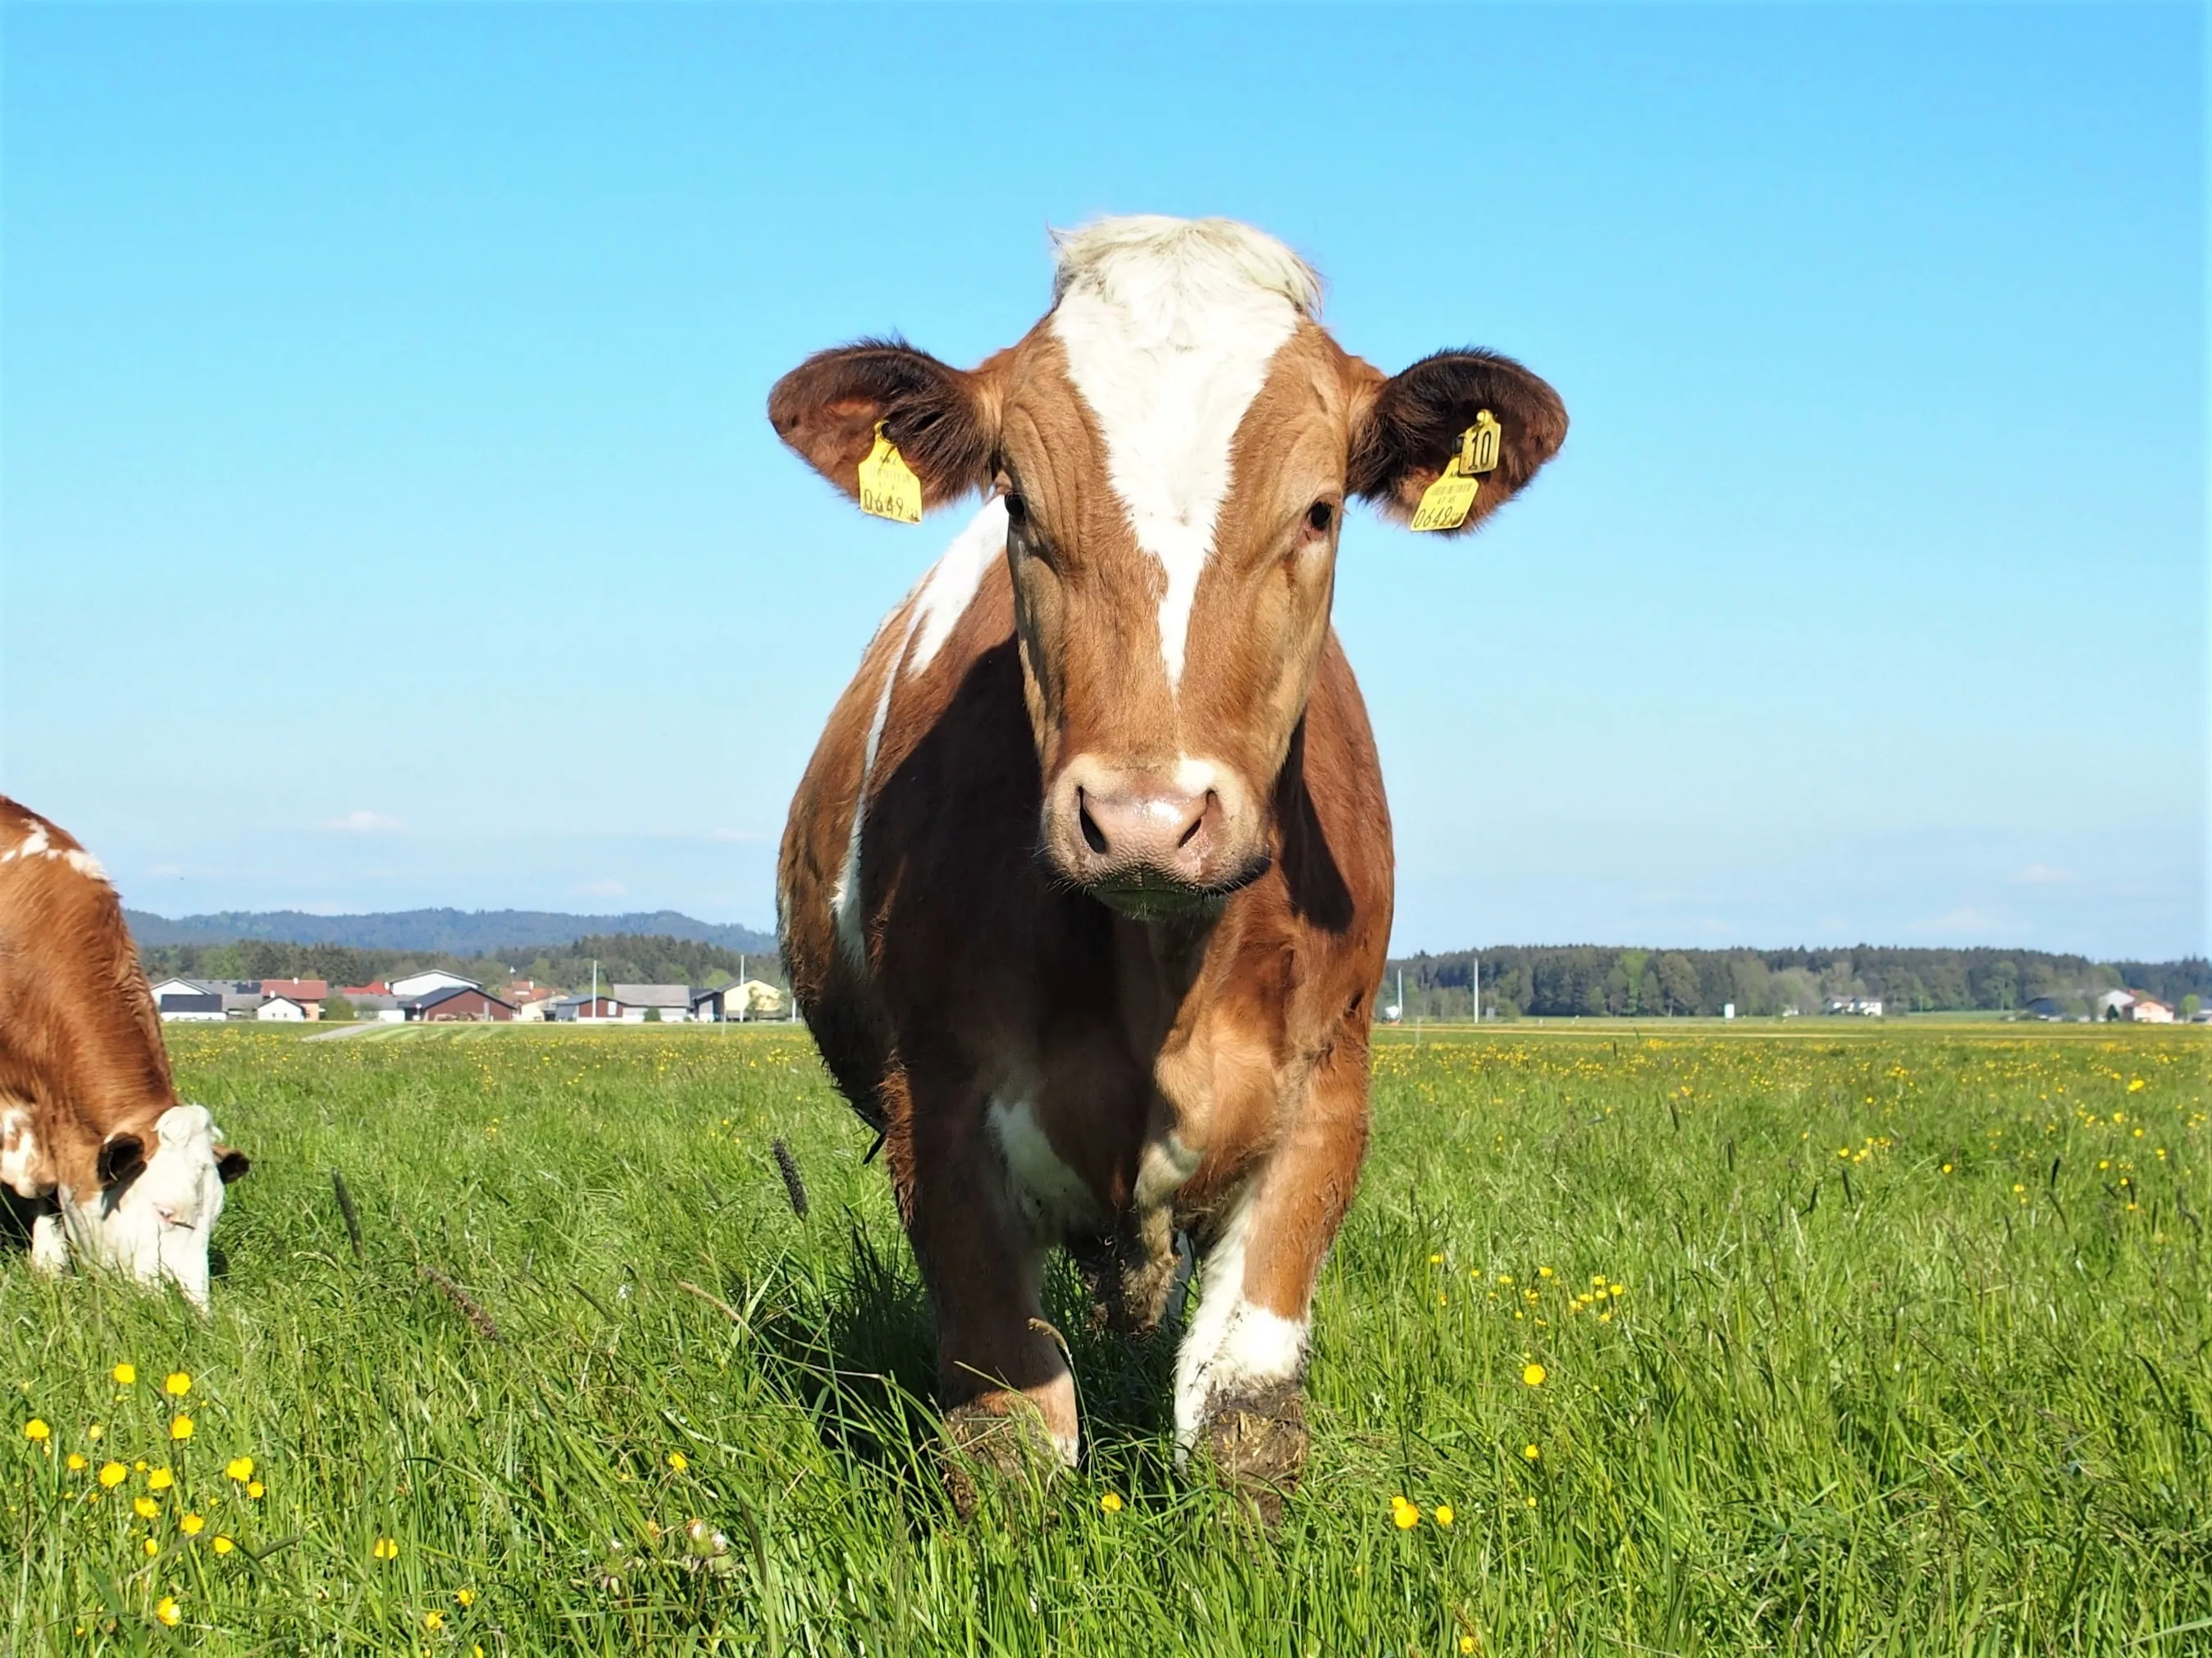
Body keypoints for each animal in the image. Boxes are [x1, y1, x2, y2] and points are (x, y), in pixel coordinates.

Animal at [771, 217, 1565, 1515]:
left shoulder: (1324, 1100)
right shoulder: (938, 1114)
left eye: (1319, 511)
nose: (1144, 821)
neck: (1160, 975)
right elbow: (1007, 1432)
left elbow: (1245, 1411)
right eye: (1018, 502)